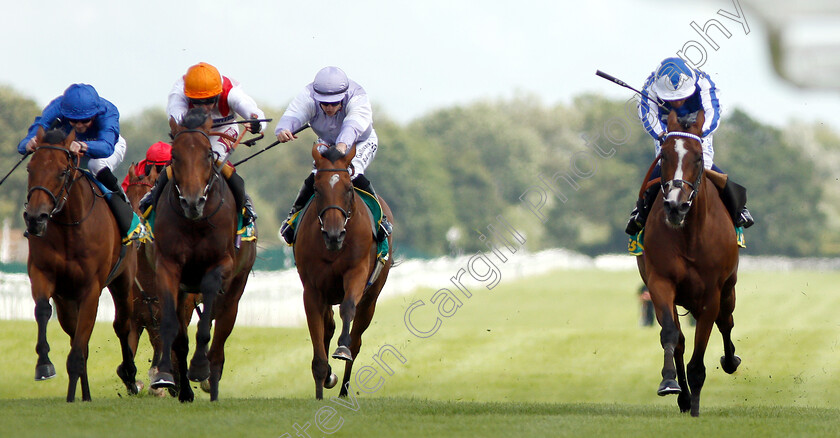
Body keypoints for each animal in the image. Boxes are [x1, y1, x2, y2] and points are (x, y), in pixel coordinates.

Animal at [23, 126, 139, 400]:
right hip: (67, 300)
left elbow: (79, 350)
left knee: (122, 325)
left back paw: (129, 375)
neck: (70, 226)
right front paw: (44, 365)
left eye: (62, 171)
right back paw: (85, 395)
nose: (35, 218)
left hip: (123, 282)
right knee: (77, 336)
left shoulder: (91, 289)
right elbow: (43, 311)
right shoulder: (43, 276)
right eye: (30, 168)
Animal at [148, 108, 258, 402]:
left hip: (236, 289)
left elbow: (207, 323)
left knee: (220, 339)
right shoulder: (167, 266)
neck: (195, 223)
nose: (192, 201)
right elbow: (171, 327)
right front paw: (165, 375)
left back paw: (213, 383)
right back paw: (185, 390)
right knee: (182, 338)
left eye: (208, 155)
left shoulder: (222, 265)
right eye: (175, 156)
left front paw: (200, 367)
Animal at [296, 145, 394, 400]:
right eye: (317, 189)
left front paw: (342, 348)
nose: (334, 234)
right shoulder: (312, 290)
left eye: (349, 188)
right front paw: (321, 386)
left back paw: (344, 390)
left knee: (356, 340)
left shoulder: (356, 272)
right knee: (328, 326)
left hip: (371, 299)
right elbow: (318, 337)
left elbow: (348, 307)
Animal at [636, 110, 740, 418]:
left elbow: (700, 356)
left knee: (726, 322)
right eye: (665, 156)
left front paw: (695, 407)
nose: (675, 205)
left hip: (729, 289)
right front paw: (670, 383)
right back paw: (681, 395)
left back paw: (730, 361)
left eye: (697, 157)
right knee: (680, 338)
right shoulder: (659, 283)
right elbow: (671, 335)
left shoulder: (711, 294)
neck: (689, 235)